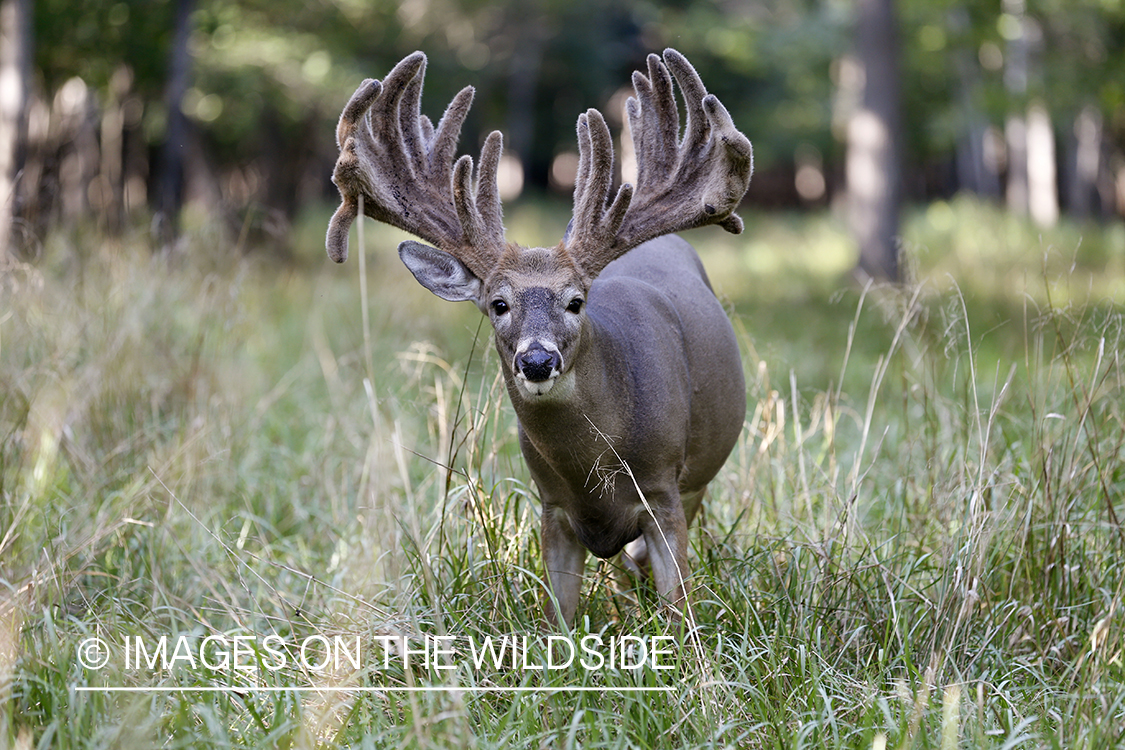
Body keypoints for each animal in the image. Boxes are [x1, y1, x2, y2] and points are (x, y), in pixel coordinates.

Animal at [328, 49, 751, 629]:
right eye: (497, 304)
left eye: (575, 301)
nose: (536, 361)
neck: (598, 468)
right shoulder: (551, 505)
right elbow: (558, 618)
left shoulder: (663, 490)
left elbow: (678, 609)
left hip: (698, 480)